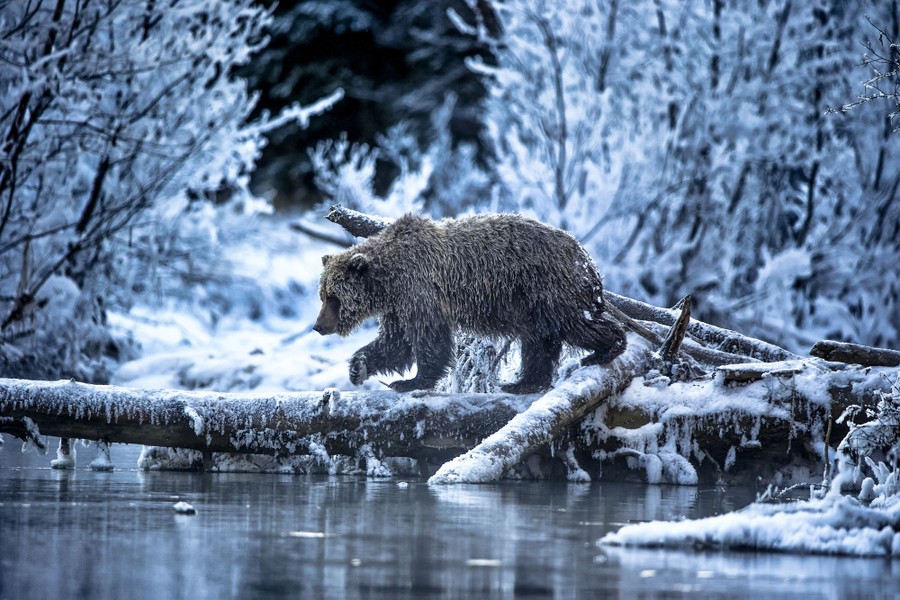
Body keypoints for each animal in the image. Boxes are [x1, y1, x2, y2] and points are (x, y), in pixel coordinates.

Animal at [313, 213, 627, 394]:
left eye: (334, 298)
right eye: (323, 295)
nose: (318, 326)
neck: (389, 281)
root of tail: (587, 259)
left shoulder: (420, 291)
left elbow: (429, 339)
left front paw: (412, 381)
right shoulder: (398, 306)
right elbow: (395, 342)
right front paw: (358, 367)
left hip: (547, 287)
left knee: (571, 324)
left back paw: (606, 348)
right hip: (530, 302)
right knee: (540, 340)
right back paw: (522, 383)